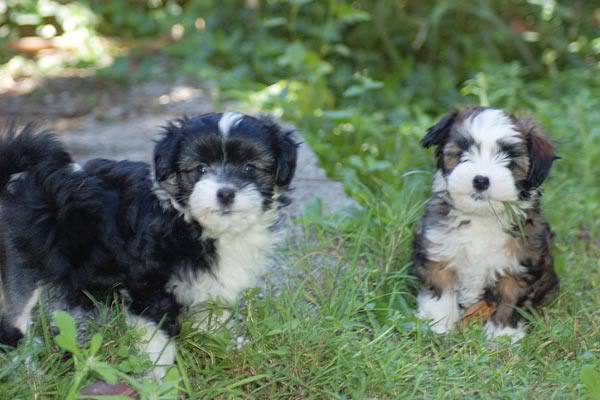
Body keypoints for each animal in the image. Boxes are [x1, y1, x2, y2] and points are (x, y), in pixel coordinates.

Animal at [0, 111, 298, 376]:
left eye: (250, 168)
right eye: (200, 169)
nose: (225, 193)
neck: (190, 222)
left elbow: (212, 318)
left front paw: (223, 345)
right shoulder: (147, 284)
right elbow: (157, 337)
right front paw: (158, 377)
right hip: (22, 271)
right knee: (14, 323)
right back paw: (30, 373)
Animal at [410, 108, 560, 342]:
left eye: (509, 160)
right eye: (463, 153)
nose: (481, 180)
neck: (482, 217)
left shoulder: (521, 261)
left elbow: (510, 298)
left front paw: (503, 334)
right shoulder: (438, 247)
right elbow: (441, 287)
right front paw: (438, 323)